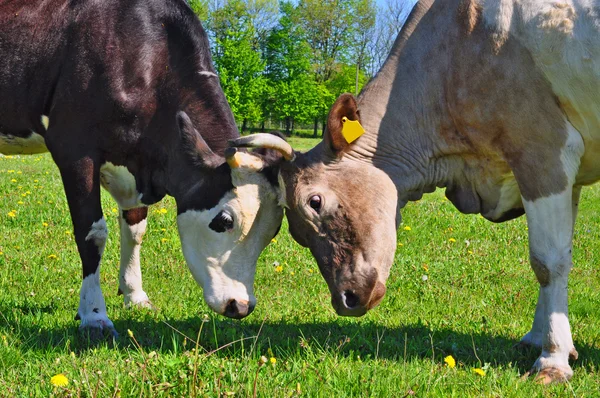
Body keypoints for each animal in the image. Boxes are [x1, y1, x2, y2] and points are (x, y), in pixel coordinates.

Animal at [0, 0, 284, 336]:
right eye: (224, 220)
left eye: (275, 230)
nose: (240, 305)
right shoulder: (73, 147)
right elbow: (92, 233)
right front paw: (94, 314)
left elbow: (135, 229)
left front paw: (135, 295)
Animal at [231, 0, 600, 382]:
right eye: (296, 234)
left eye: (314, 202)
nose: (345, 299)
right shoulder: (567, 175)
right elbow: (558, 257)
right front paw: (539, 339)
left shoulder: (542, 148)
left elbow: (547, 262)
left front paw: (553, 359)